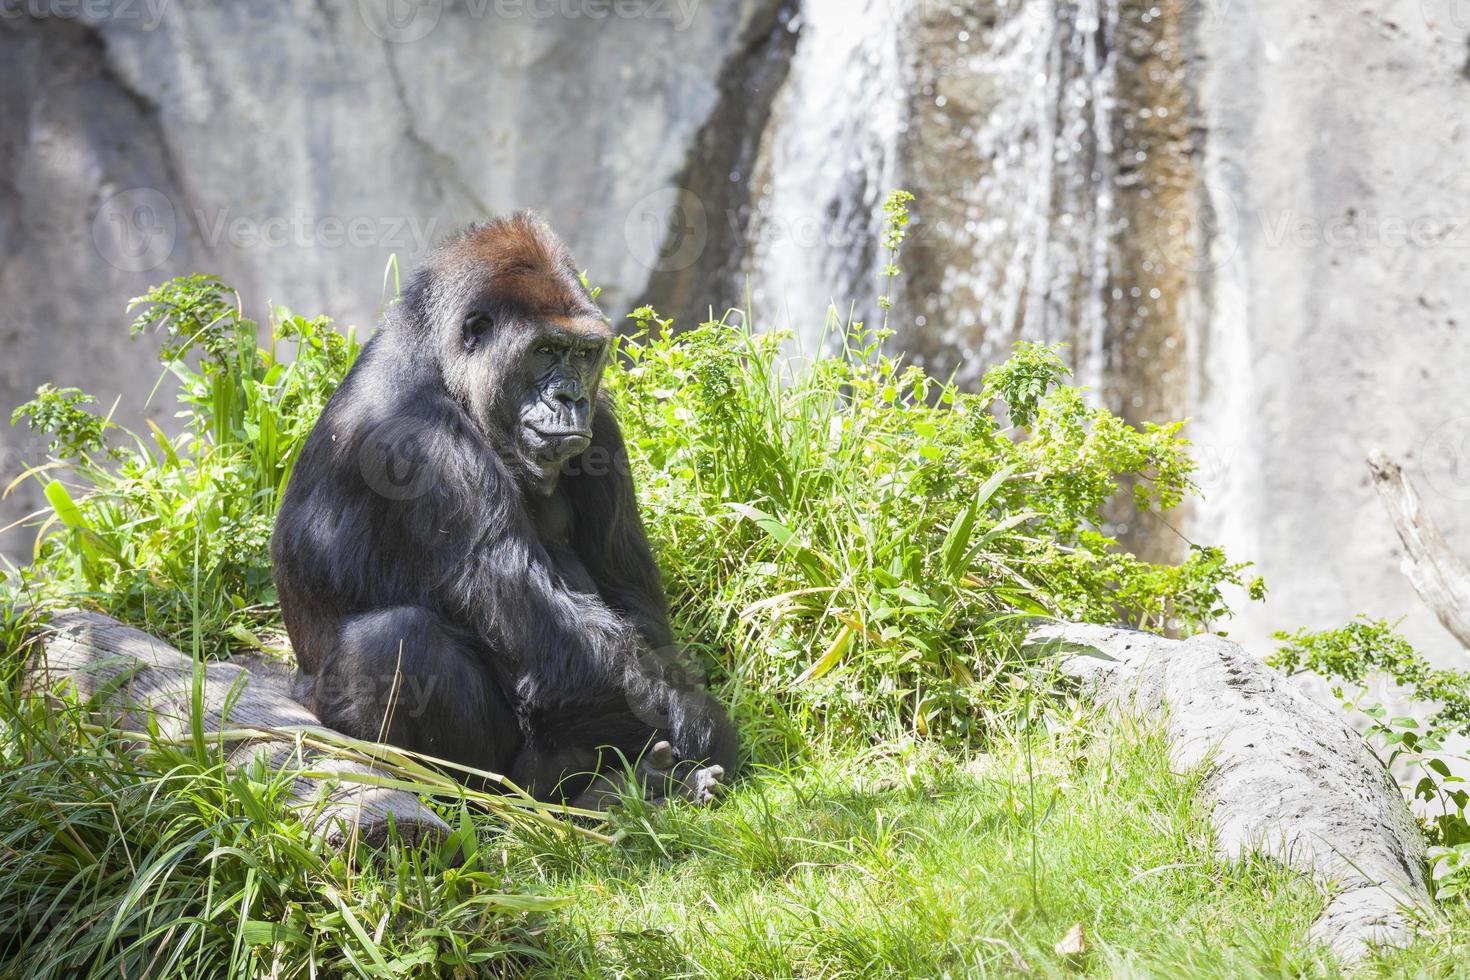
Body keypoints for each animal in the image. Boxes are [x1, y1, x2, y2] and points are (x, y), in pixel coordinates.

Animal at [269, 213, 735, 805]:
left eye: (584, 353)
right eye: (544, 351)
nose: (570, 398)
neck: (441, 366)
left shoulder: (603, 425)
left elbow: (634, 603)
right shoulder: (421, 446)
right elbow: (557, 649)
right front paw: (707, 730)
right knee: (393, 640)